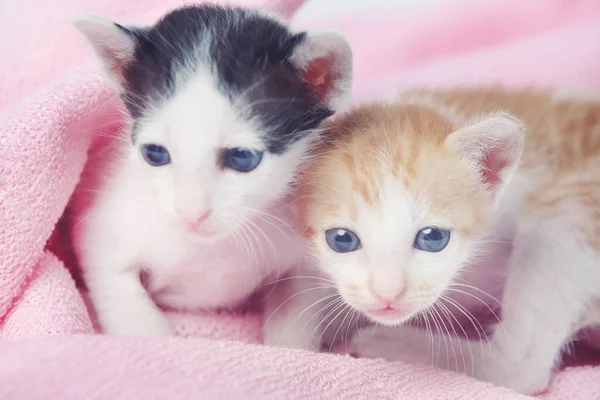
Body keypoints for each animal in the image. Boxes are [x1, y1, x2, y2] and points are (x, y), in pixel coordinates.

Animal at [70, 4, 352, 336]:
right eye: (154, 154)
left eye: (242, 157)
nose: (191, 215)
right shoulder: (100, 234)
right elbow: (130, 309)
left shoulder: (304, 261)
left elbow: (295, 320)